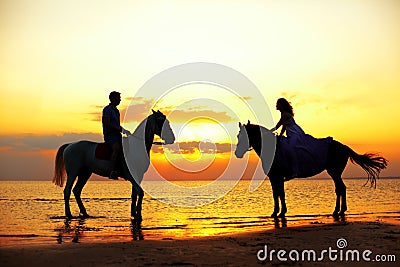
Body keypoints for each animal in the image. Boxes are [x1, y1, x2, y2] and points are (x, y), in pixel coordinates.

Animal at [234, 122, 388, 219]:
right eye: (238, 136)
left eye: (243, 136)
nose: (237, 154)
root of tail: (343, 146)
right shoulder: (274, 177)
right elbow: (276, 194)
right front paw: (277, 212)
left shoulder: (277, 177)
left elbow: (280, 194)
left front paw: (280, 212)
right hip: (334, 173)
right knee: (339, 189)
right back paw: (337, 211)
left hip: (334, 172)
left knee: (341, 188)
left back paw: (339, 210)